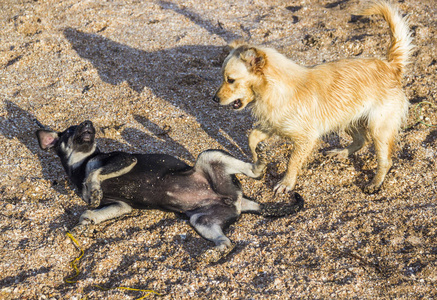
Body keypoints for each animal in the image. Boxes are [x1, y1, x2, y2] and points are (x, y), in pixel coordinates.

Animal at [35, 120, 304, 262]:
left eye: (78, 127)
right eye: (71, 131)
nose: (89, 123)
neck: (79, 165)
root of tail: (239, 201)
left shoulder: (123, 160)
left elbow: (95, 173)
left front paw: (93, 189)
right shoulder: (121, 205)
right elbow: (88, 212)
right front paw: (83, 224)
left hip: (209, 156)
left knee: (254, 172)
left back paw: (260, 163)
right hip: (201, 221)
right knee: (227, 241)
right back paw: (214, 252)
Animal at [213, 0, 414, 195]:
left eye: (230, 80)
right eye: (223, 77)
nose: (214, 99)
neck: (272, 89)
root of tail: (390, 65)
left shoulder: (305, 138)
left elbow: (292, 162)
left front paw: (286, 183)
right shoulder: (273, 125)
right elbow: (251, 138)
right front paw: (257, 160)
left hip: (378, 128)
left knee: (385, 161)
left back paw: (375, 182)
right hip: (346, 118)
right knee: (360, 140)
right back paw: (341, 153)